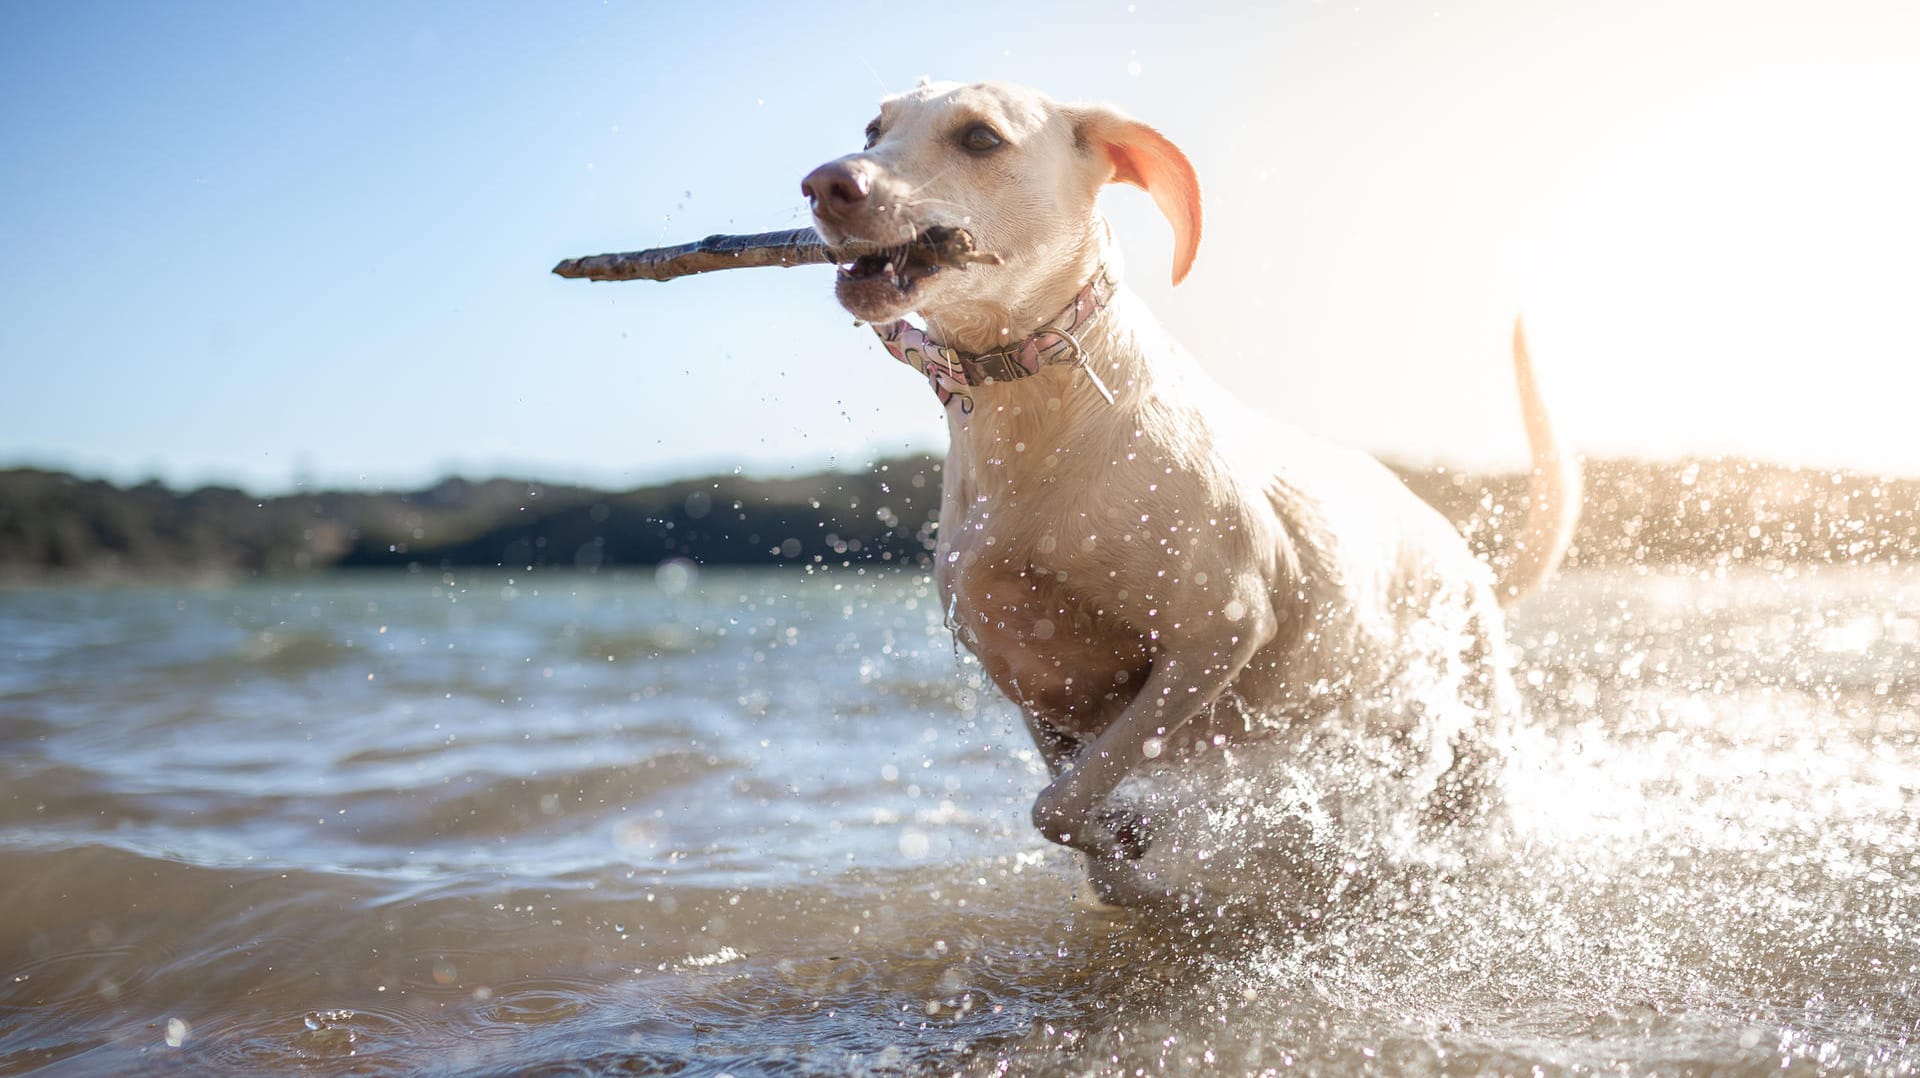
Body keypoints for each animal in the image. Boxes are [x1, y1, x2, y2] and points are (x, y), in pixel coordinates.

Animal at [798, 82, 1574, 899]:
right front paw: (1120, 847)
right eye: (873, 130)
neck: (1036, 415)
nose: (826, 184)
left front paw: (1135, 851)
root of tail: (1464, 551)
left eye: (980, 137)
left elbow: (1064, 798)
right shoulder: (1033, 684)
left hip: (1468, 727)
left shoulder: (1218, 631)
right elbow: (1069, 806)